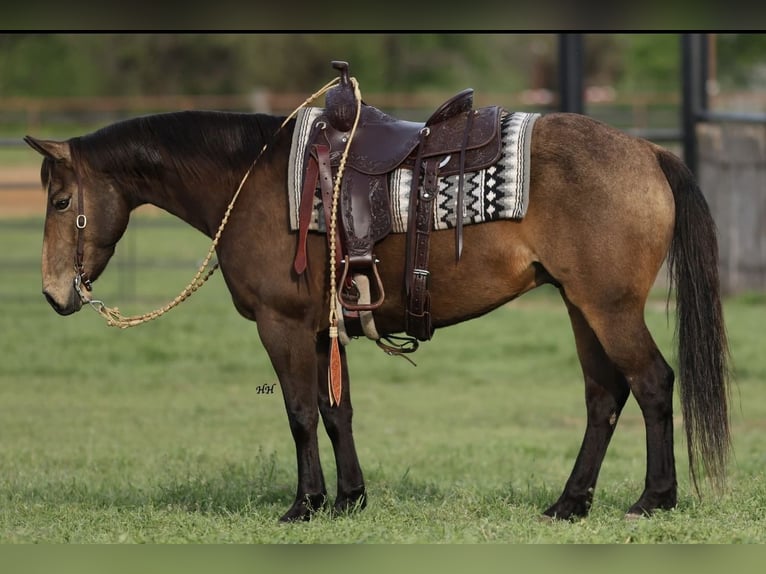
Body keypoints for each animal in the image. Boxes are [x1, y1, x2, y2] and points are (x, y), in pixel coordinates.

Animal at [24, 103, 730, 523]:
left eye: (60, 202)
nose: (55, 293)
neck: (252, 182)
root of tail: (647, 151)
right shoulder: (320, 330)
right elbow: (336, 412)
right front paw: (348, 499)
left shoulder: (282, 325)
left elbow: (300, 413)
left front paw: (305, 504)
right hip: (582, 306)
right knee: (604, 396)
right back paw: (570, 502)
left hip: (610, 307)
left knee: (652, 383)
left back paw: (654, 498)